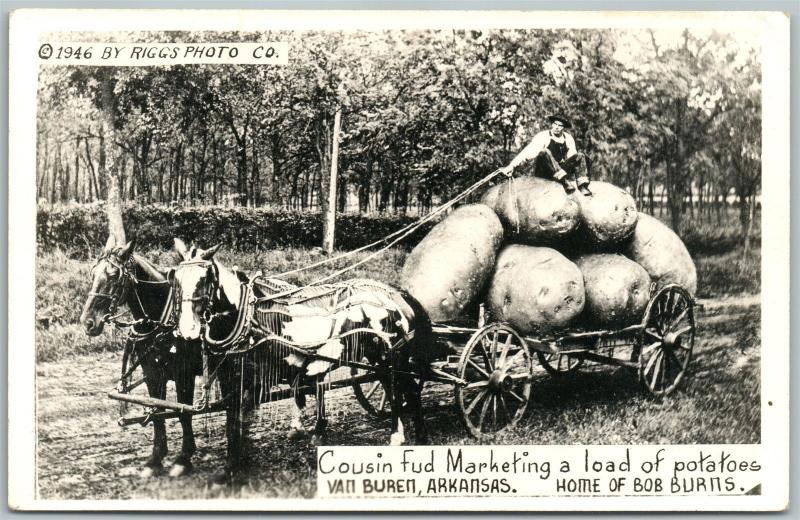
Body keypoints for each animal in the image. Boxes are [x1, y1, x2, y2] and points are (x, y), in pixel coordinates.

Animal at [79, 237, 202, 480]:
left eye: (114, 276)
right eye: (93, 273)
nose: (87, 322)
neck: (164, 320)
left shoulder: (184, 373)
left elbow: (183, 413)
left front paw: (183, 459)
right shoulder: (152, 372)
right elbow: (157, 411)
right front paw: (155, 459)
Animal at [170, 243, 432, 484]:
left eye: (205, 278)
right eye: (176, 279)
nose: (187, 329)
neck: (248, 318)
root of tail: (396, 294)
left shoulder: (252, 380)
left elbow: (238, 422)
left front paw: (232, 469)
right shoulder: (230, 378)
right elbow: (234, 422)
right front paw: (237, 465)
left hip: (392, 356)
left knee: (405, 391)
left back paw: (407, 437)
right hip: (381, 361)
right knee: (396, 389)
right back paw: (411, 436)